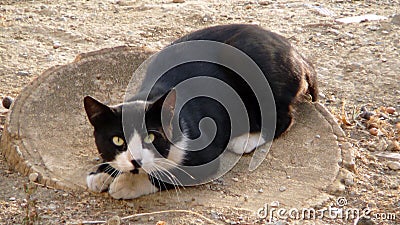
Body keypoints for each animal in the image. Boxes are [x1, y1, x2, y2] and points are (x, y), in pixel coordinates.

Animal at [84, 24, 318, 199]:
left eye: (151, 137)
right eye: (117, 140)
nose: (136, 161)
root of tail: (297, 54)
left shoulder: (205, 153)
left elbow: (172, 174)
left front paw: (126, 184)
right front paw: (102, 173)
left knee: (283, 116)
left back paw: (246, 139)